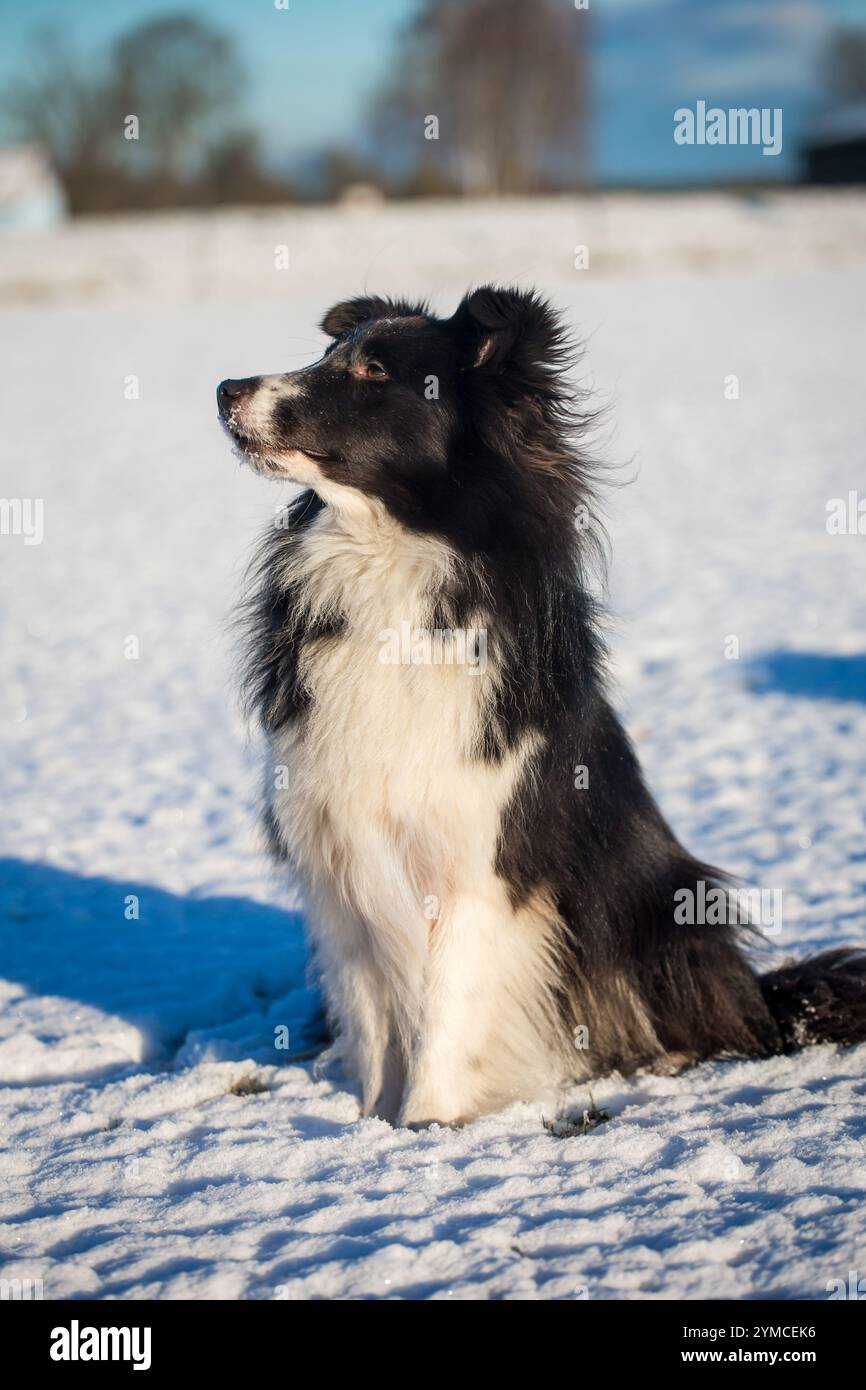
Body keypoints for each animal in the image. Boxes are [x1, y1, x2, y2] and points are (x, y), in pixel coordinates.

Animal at [218, 287, 866, 1123]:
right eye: (331, 355)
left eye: (373, 371)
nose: (225, 389)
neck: (393, 562)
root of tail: (764, 1001)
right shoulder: (341, 860)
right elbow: (373, 1022)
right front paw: (372, 1124)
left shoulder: (483, 863)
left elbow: (448, 1014)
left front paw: (427, 1123)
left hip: (665, 906)